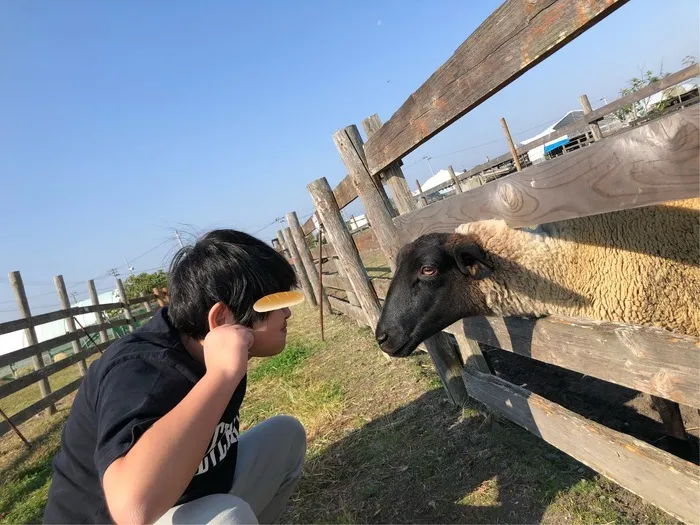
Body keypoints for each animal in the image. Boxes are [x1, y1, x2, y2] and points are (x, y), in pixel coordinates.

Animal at [378, 194, 700, 456]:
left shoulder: (659, 361)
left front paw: (680, 454)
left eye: (428, 269)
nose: (382, 337)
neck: (577, 268)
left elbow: (670, 415)